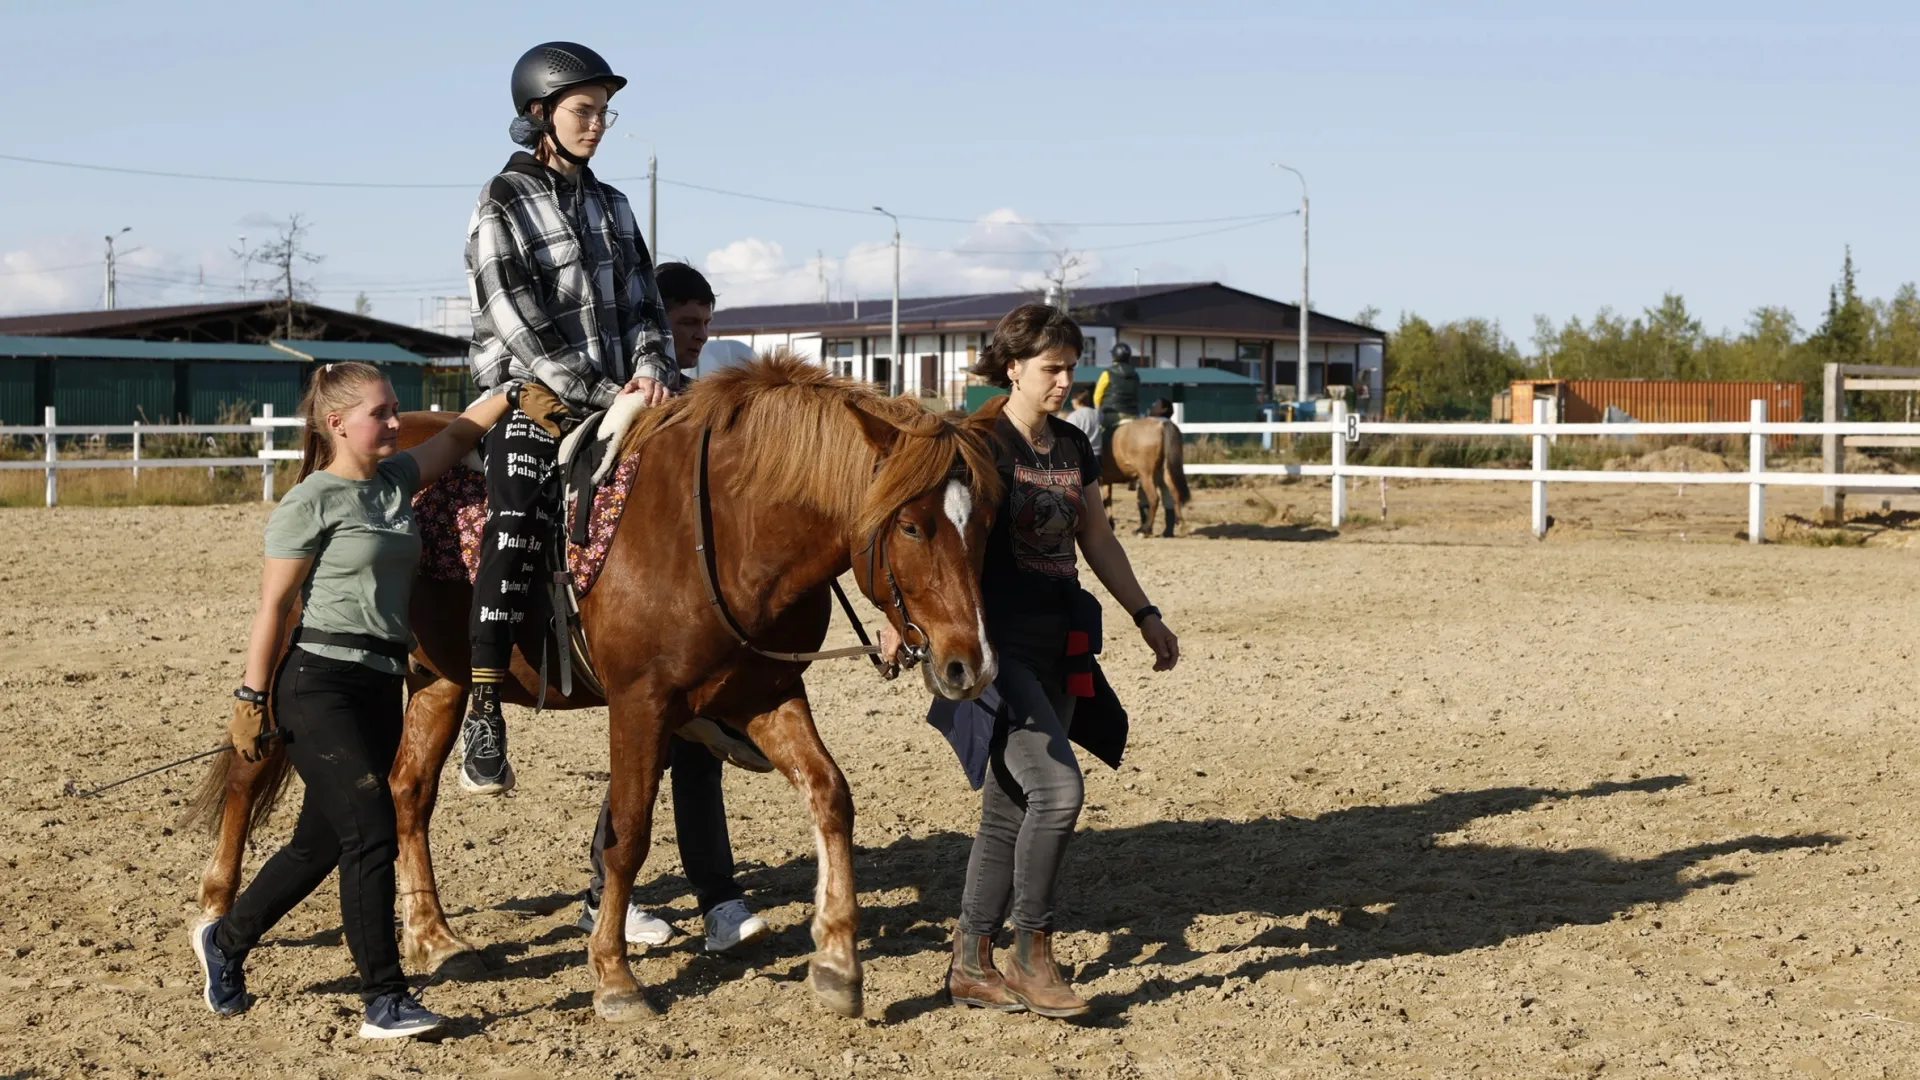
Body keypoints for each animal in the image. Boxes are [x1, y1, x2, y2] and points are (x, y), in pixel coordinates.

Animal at [187, 357, 1006, 1022]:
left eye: (984, 525)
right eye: (911, 526)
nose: (970, 664)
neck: (720, 528)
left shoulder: (764, 693)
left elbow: (831, 795)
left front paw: (837, 963)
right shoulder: (642, 704)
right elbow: (629, 834)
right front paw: (614, 978)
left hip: (439, 680)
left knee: (406, 793)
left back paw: (436, 938)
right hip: (291, 657)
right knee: (251, 770)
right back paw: (214, 916)